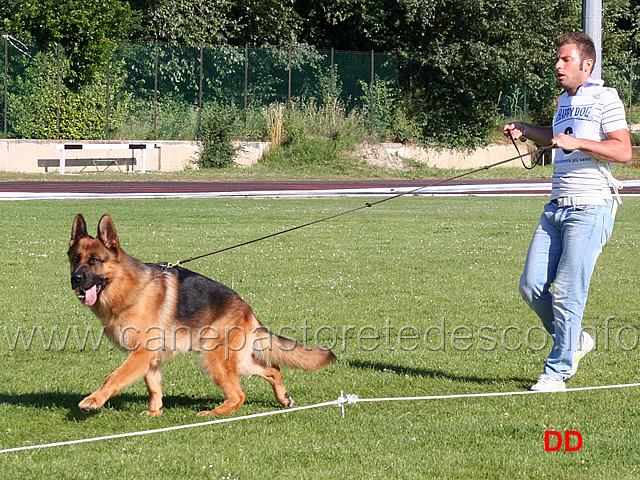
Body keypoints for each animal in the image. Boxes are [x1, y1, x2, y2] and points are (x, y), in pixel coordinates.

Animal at [68, 215, 338, 416]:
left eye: (95, 260)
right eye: (75, 259)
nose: (75, 279)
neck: (128, 287)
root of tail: (246, 308)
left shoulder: (142, 353)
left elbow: (113, 377)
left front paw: (93, 401)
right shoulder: (150, 359)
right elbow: (153, 386)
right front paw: (155, 412)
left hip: (214, 358)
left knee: (239, 395)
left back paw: (214, 413)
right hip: (233, 359)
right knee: (272, 370)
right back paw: (283, 398)